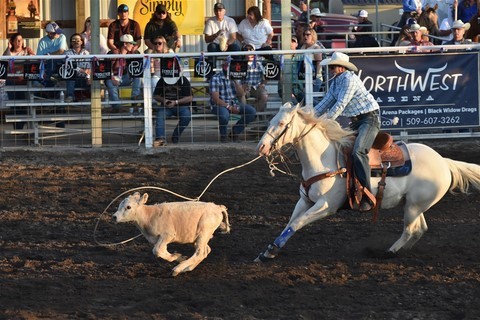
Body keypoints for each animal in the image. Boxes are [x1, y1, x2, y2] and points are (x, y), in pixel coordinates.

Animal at [255, 104, 480, 262]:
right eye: (270, 120)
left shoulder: (326, 206)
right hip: (413, 205)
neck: (322, 159)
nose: (261, 147)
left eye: (282, 124)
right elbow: (290, 223)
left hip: (414, 206)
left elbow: (297, 223)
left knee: (410, 230)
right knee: (420, 228)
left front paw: (271, 251)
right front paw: (269, 251)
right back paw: (401, 250)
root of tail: (443, 161)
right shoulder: (305, 201)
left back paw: (389, 252)